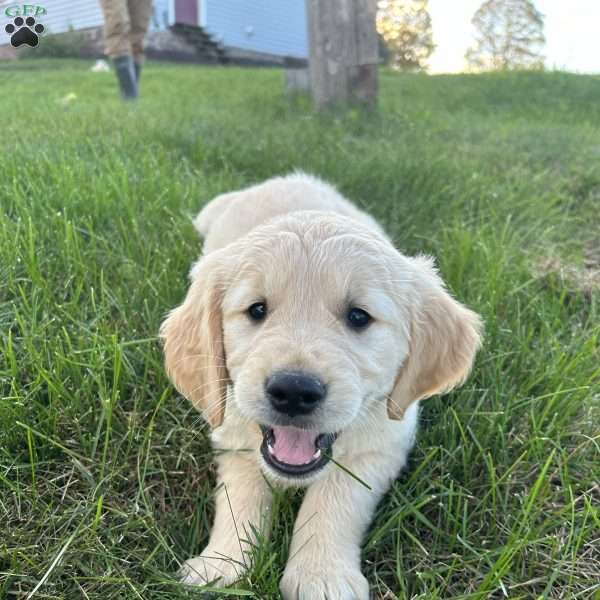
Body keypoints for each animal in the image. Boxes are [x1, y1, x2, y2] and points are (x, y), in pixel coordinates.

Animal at [161, 173, 482, 600]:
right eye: (257, 310)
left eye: (359, 317)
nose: (294, 391)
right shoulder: (232, 433)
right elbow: (240, 494)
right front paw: (223, 565)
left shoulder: (384, 443)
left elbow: (336, 497)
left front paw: (322, 576)